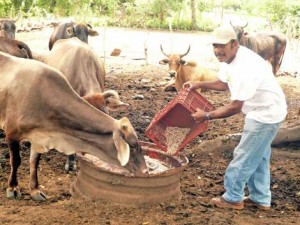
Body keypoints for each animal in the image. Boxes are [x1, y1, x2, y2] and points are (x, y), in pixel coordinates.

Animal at [0, 51, 148, 201]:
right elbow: (16, 161)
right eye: (133, 146)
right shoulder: (11, 133)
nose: (145, 170)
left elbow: (34, 162)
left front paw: (35, 190)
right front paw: (12, 188)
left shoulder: (39, 137)